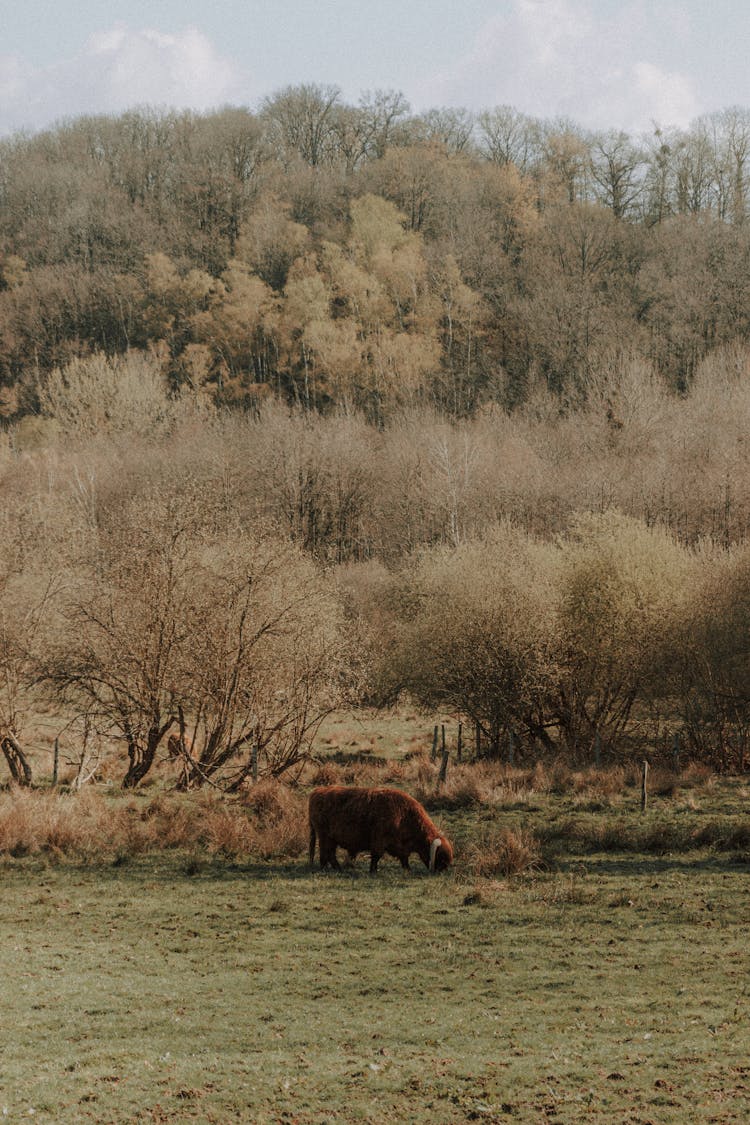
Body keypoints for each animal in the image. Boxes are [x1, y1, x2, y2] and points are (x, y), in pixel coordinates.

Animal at [308, 787, 454, 873]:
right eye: (441, 858)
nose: (443, 871)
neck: (405, 814)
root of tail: (318, 791)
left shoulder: (401, 847)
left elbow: (404, 858)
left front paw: (408, 870)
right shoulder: (379, 840)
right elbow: (376, 856)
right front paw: (373, 871)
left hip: (330, 839)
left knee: (329, 854)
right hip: (325, 837)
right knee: (326, 853)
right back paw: (332, 869)